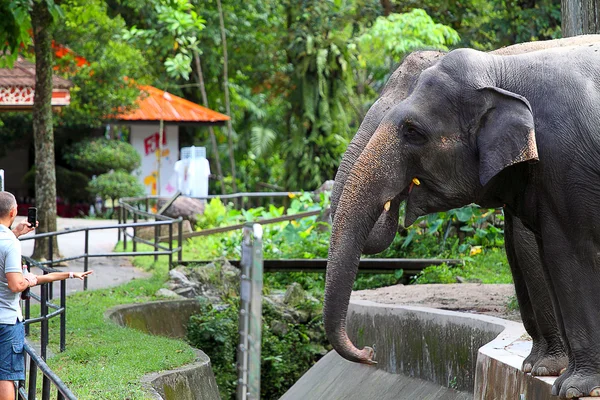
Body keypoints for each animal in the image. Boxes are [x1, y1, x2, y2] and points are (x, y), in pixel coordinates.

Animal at [326, 36, 600, 398]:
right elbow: (529, 249)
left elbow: (563, 251)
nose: (370, 352)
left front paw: (568, 384)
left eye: (412, 131)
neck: (499, 63)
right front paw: (538, 369)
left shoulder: (564, 159)